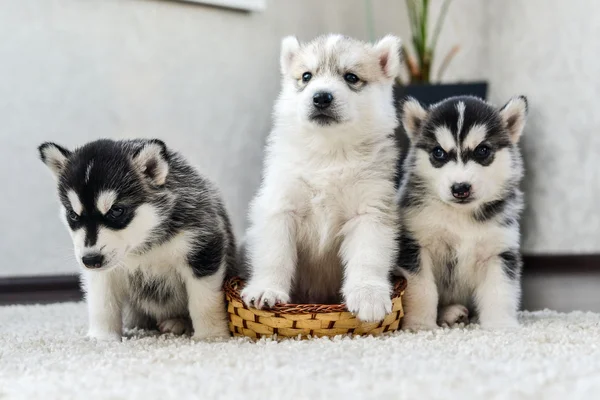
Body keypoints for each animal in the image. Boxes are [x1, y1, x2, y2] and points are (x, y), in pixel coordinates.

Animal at [38, 138, 234, 340]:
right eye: (73, 215)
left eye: (117, 210)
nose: (90, 260)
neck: (142, 246)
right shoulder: (103, 274)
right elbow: (102, 303)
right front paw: (102, 337)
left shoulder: (202, 248)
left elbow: (204, 300)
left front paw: (211, 336)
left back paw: (178, 322)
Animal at [240, 34, 404, 322]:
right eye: (307, 76)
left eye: (351, 77)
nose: (321, 97)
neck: (329, 154)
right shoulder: (280, 207)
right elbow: (274, 255)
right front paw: (266, 289)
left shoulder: (370, 211)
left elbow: (368, 257)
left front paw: (368, 295)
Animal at [396, 95, 528, 330]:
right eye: (438, 152)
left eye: (482, 150)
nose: (460, 188)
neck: (461, 217)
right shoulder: (415, 246)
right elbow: (422, 289)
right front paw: (420, 325)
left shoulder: (500, 251)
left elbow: (500, 291)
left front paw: (501, 325)